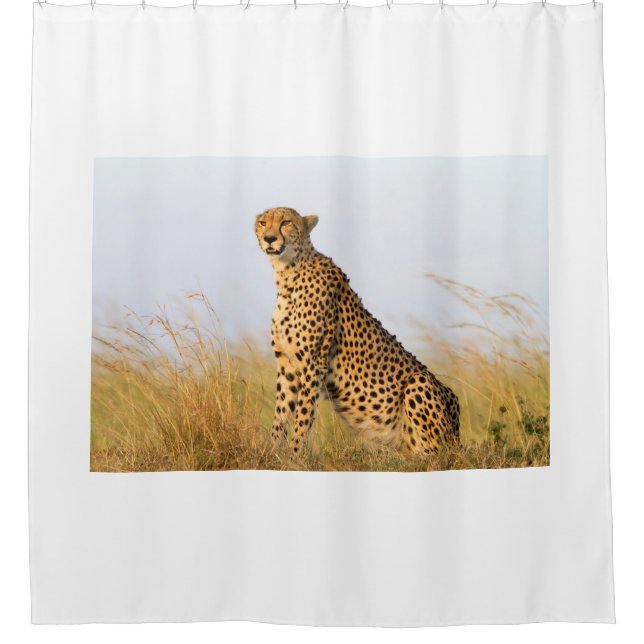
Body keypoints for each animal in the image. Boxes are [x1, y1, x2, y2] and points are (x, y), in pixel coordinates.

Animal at [254, 206, 460, 457]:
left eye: (285, 223)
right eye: (263, 223)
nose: (269, 238)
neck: (287, 274)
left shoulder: (313, 364)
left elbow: (303, 416)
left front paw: (294, 455)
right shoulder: (287, 365)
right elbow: (281, 413)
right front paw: (273, 453)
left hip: (419, 384)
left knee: (434, 456)